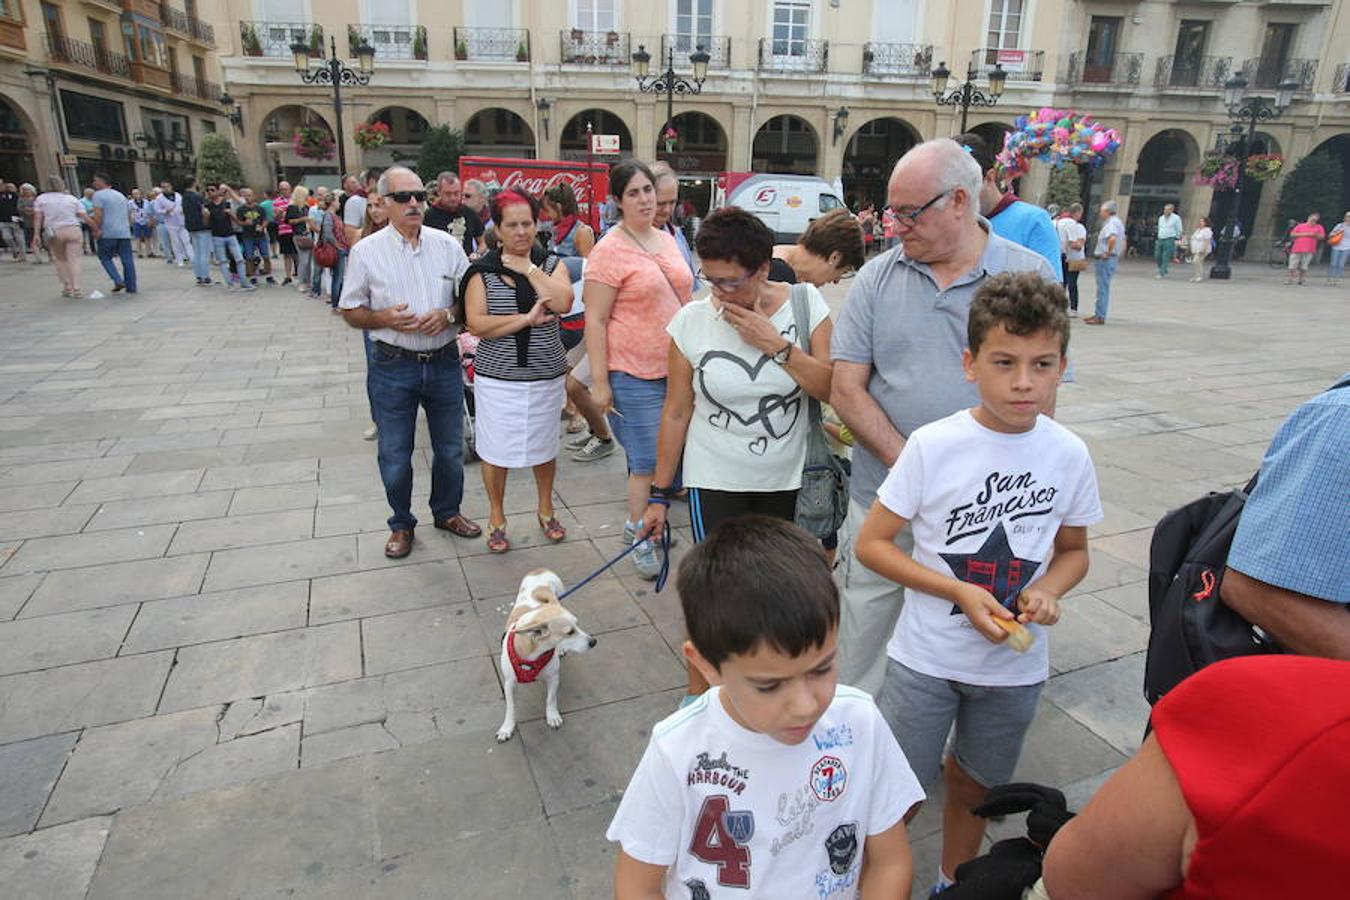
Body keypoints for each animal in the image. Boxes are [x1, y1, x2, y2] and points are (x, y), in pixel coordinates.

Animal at [496, 566, 596, 744]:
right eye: (569, 632)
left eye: (577, 625)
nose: (593, 641)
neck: (532, 653)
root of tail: (540, 570)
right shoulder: (508, 683)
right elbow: (511, 707)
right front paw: (507, 727)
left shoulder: (553, 677)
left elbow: (551, 698)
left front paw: (552, 716)